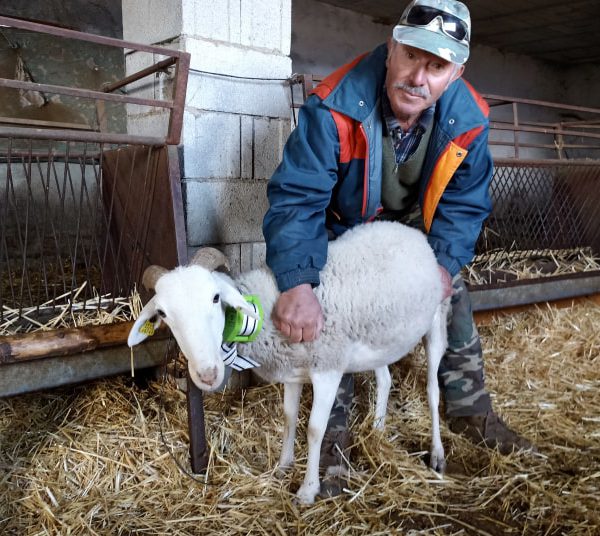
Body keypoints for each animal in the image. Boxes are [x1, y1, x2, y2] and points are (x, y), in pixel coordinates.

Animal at [129, 220, 452, 504]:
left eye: (215, 298)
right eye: (163, 313)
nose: (207, 375)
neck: (266, 312)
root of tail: (411, 232)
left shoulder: (327, 369)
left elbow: (314, 429)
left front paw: (308, 490)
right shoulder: (294, 372)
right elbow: (289, 416)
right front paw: (283, 466)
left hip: (437, 317)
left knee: (433, 390)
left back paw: (437, 453)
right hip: (377, 340)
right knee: (385, 379)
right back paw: (378, 428)